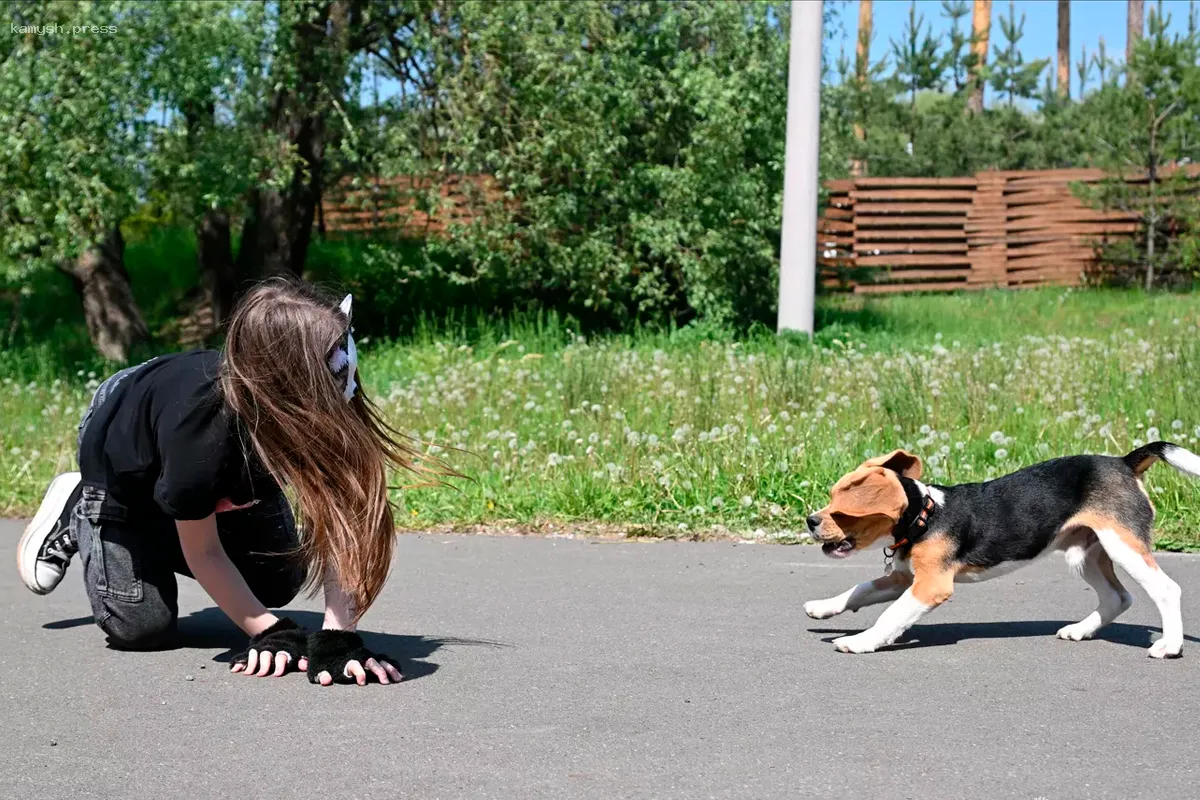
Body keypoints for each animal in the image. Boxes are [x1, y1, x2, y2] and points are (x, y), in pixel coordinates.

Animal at [801, 443, 1195, 657]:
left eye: (841, 511)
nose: (810, 520)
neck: (925, 516)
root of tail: (1123, 462)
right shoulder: (903, 578)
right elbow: (859, 590)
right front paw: (823, 607)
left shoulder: (930, 586)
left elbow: (890, 615)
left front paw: (861, 641)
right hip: (1083, 553)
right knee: (1117, 597)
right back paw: (1081, 630)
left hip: (1121, 545)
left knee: (1167, 589)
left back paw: (1169, 646)